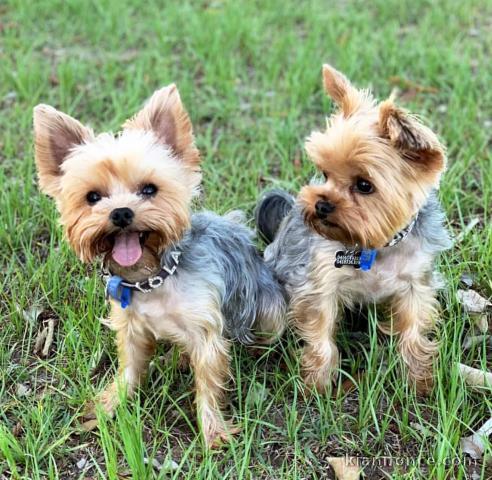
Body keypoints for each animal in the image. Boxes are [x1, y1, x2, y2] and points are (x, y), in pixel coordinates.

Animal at [32, 85, 286, 446]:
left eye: (149, 189)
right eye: (93, 197)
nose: (121, 212)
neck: (153, 277)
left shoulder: (206, 333)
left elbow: (208, 386)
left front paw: (213, 432)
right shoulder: (130, 328)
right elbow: (129, 368)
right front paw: (107, 405)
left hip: (269, 313)